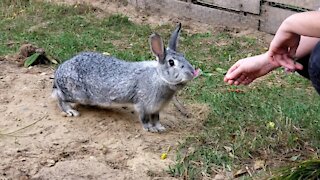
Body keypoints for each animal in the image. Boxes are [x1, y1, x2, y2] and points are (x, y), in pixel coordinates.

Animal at [52, 22, 198, 132]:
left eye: (184, 56)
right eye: (171, 63)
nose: (192, 72)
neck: (159, 77)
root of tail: (58, 73)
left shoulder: (156, 109)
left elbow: (156, 118)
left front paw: (160, 128)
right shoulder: (143, 105)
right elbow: (145, 119)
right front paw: (150, 129)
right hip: (77, 93)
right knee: (60, 97)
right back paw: (70, 111)